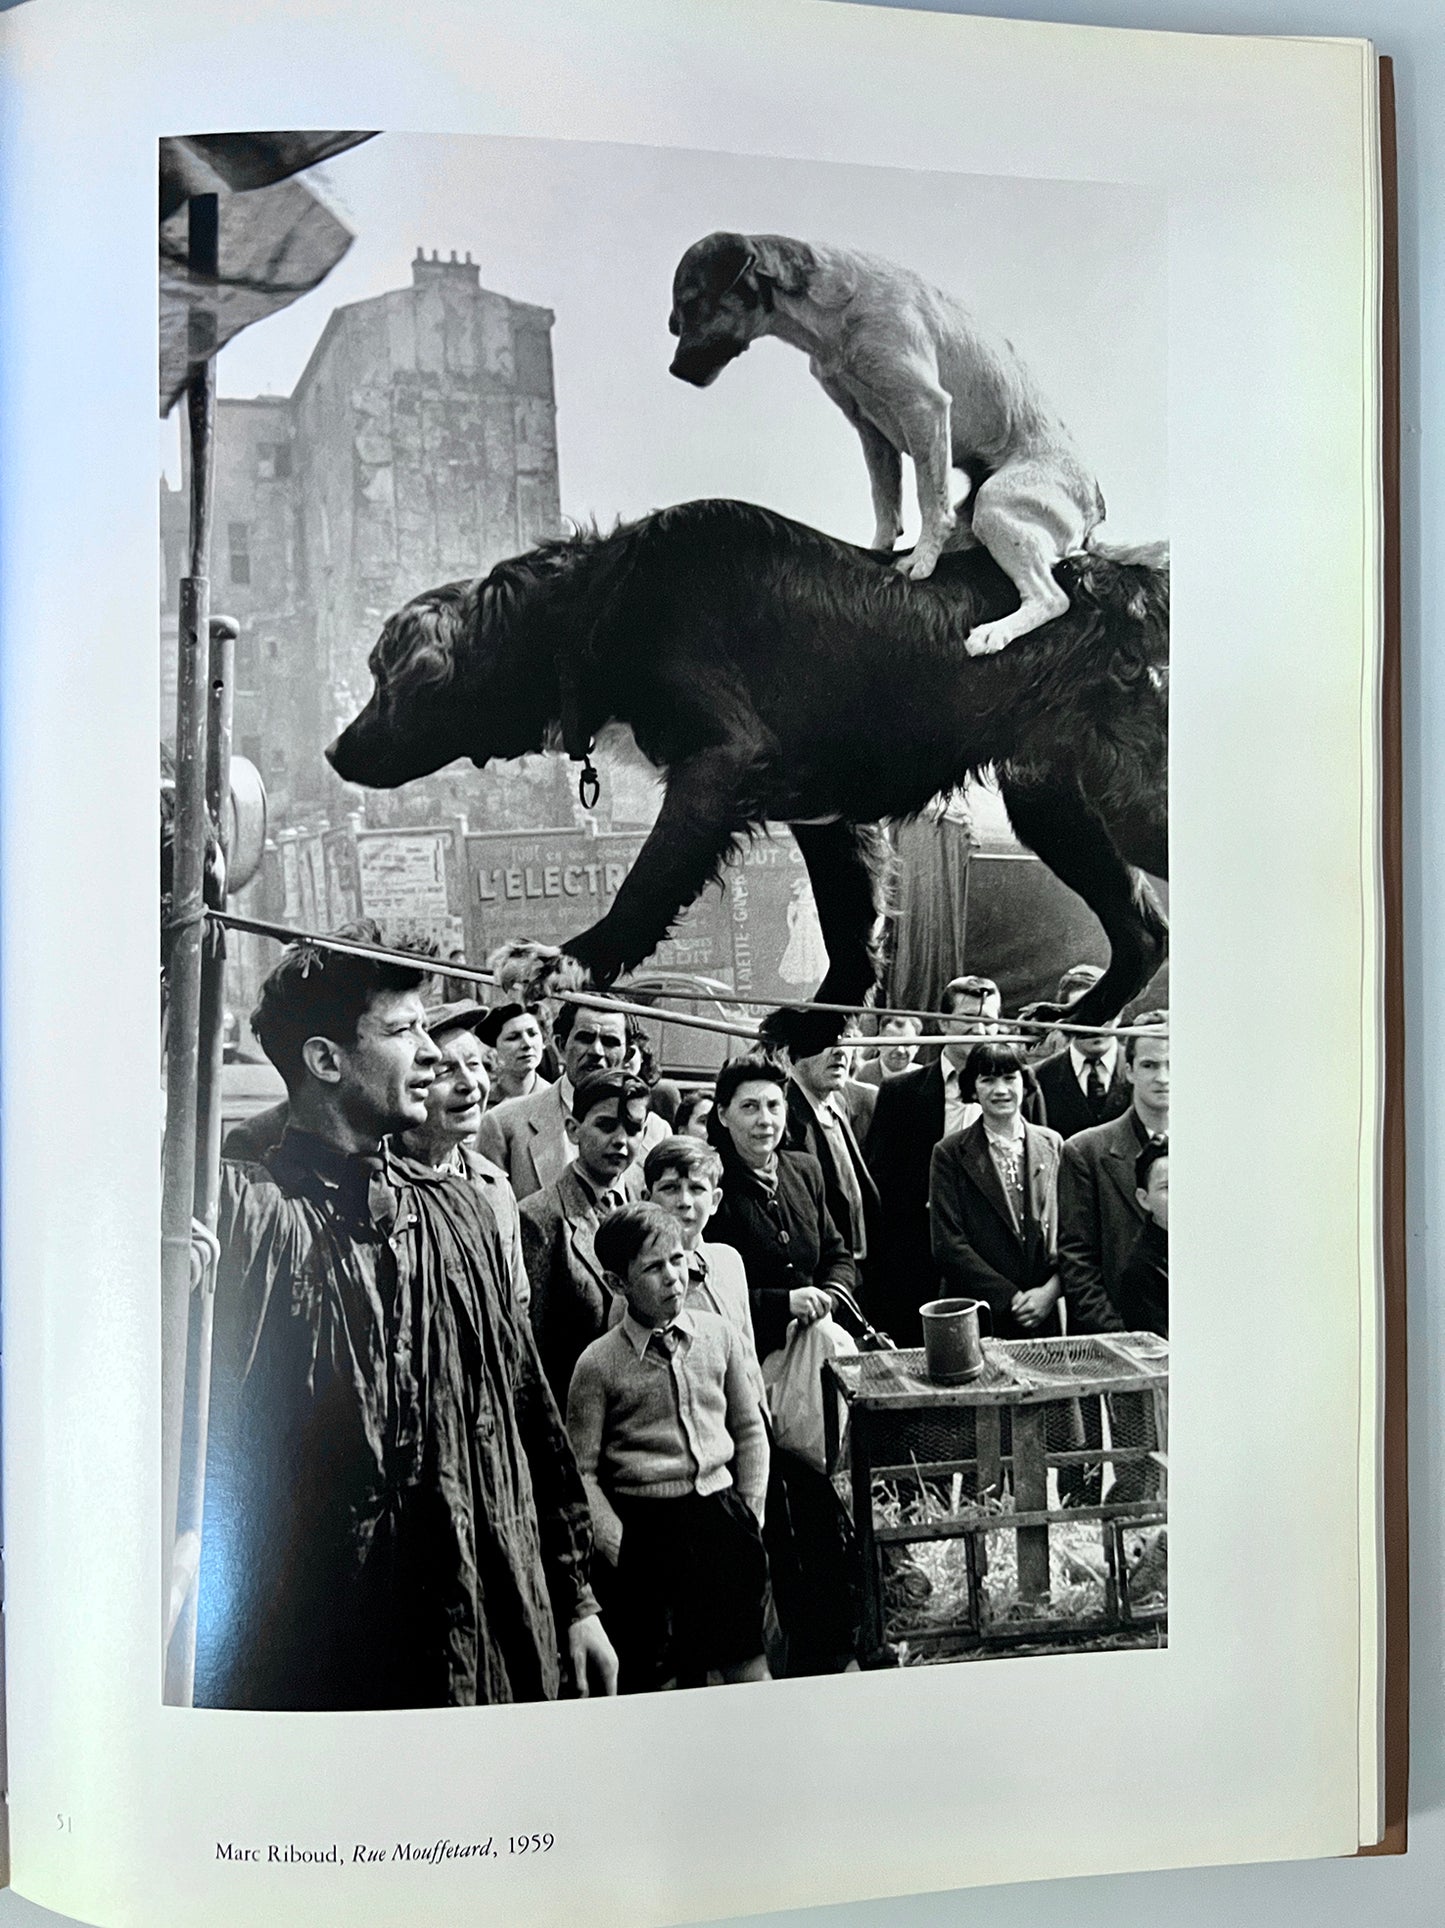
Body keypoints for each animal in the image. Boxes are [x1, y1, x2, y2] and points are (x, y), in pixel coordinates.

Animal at [667, 230, 1103, 655]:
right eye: (676, 319)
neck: (832, 312)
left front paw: (921, 560)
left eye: (691, 303)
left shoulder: (925, 407)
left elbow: (930, 498)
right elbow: (885, 500)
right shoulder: (870, 430)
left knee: (1052, 598)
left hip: (996, 505)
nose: (674, 370)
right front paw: (880, 551)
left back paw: (993, 632)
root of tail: (1095, 508)